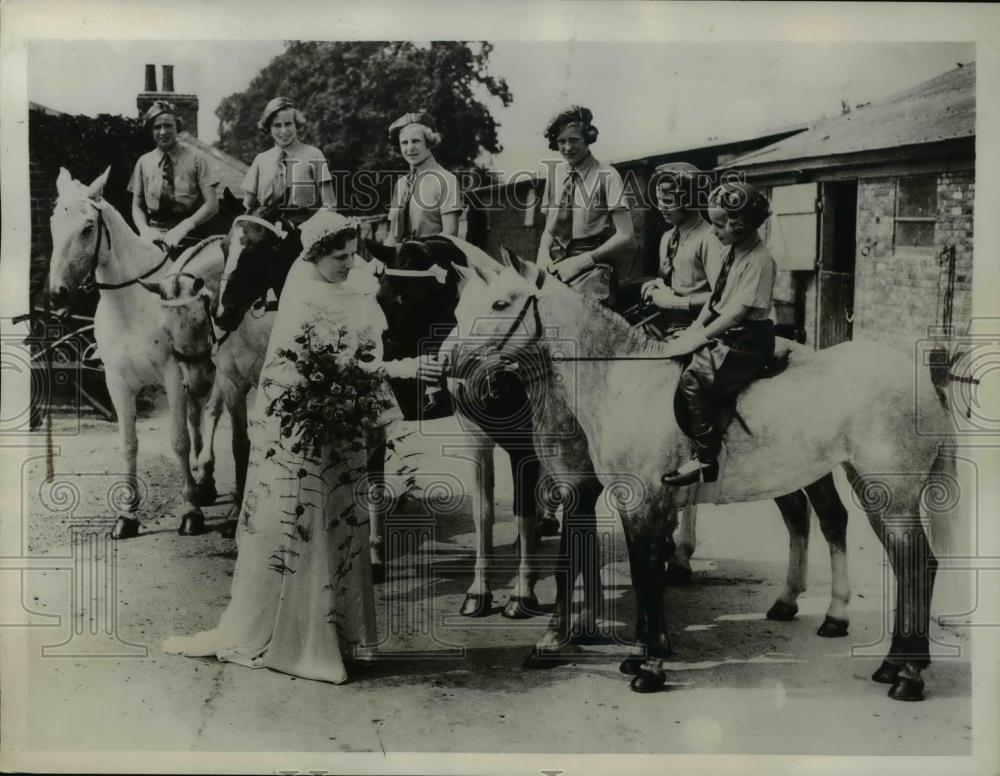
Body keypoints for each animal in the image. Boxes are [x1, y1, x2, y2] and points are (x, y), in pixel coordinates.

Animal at [450, 246, 956, 700]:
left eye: (500, 304)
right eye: (459, 306)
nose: (450, 364)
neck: (622, 380)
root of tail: (919, 377)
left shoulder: (639, 503)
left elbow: (645, 577)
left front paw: (650, 666)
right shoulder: (624, 502)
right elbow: (638, 573)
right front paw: (636, 653)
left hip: (888, 494)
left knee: (916, 563)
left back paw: (908, 675)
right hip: (854, 482)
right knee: (868, 546)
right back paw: (886, 660)